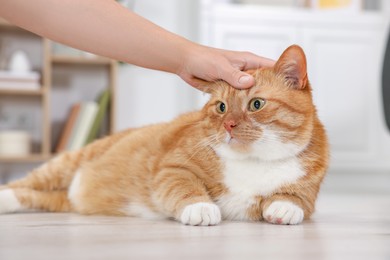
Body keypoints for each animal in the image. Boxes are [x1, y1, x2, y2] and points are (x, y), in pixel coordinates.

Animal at [0, 44, 330, 225]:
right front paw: (200, 207)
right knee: (24, 184)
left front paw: (284, 207)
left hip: (65, 198)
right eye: (222, 107)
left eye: (256, 104)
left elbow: (297, 199)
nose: (228, 125)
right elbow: (184, 185)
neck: (255, 162)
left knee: (37, 197)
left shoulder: (309, 189)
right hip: (64, 164)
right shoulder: (173, 166)